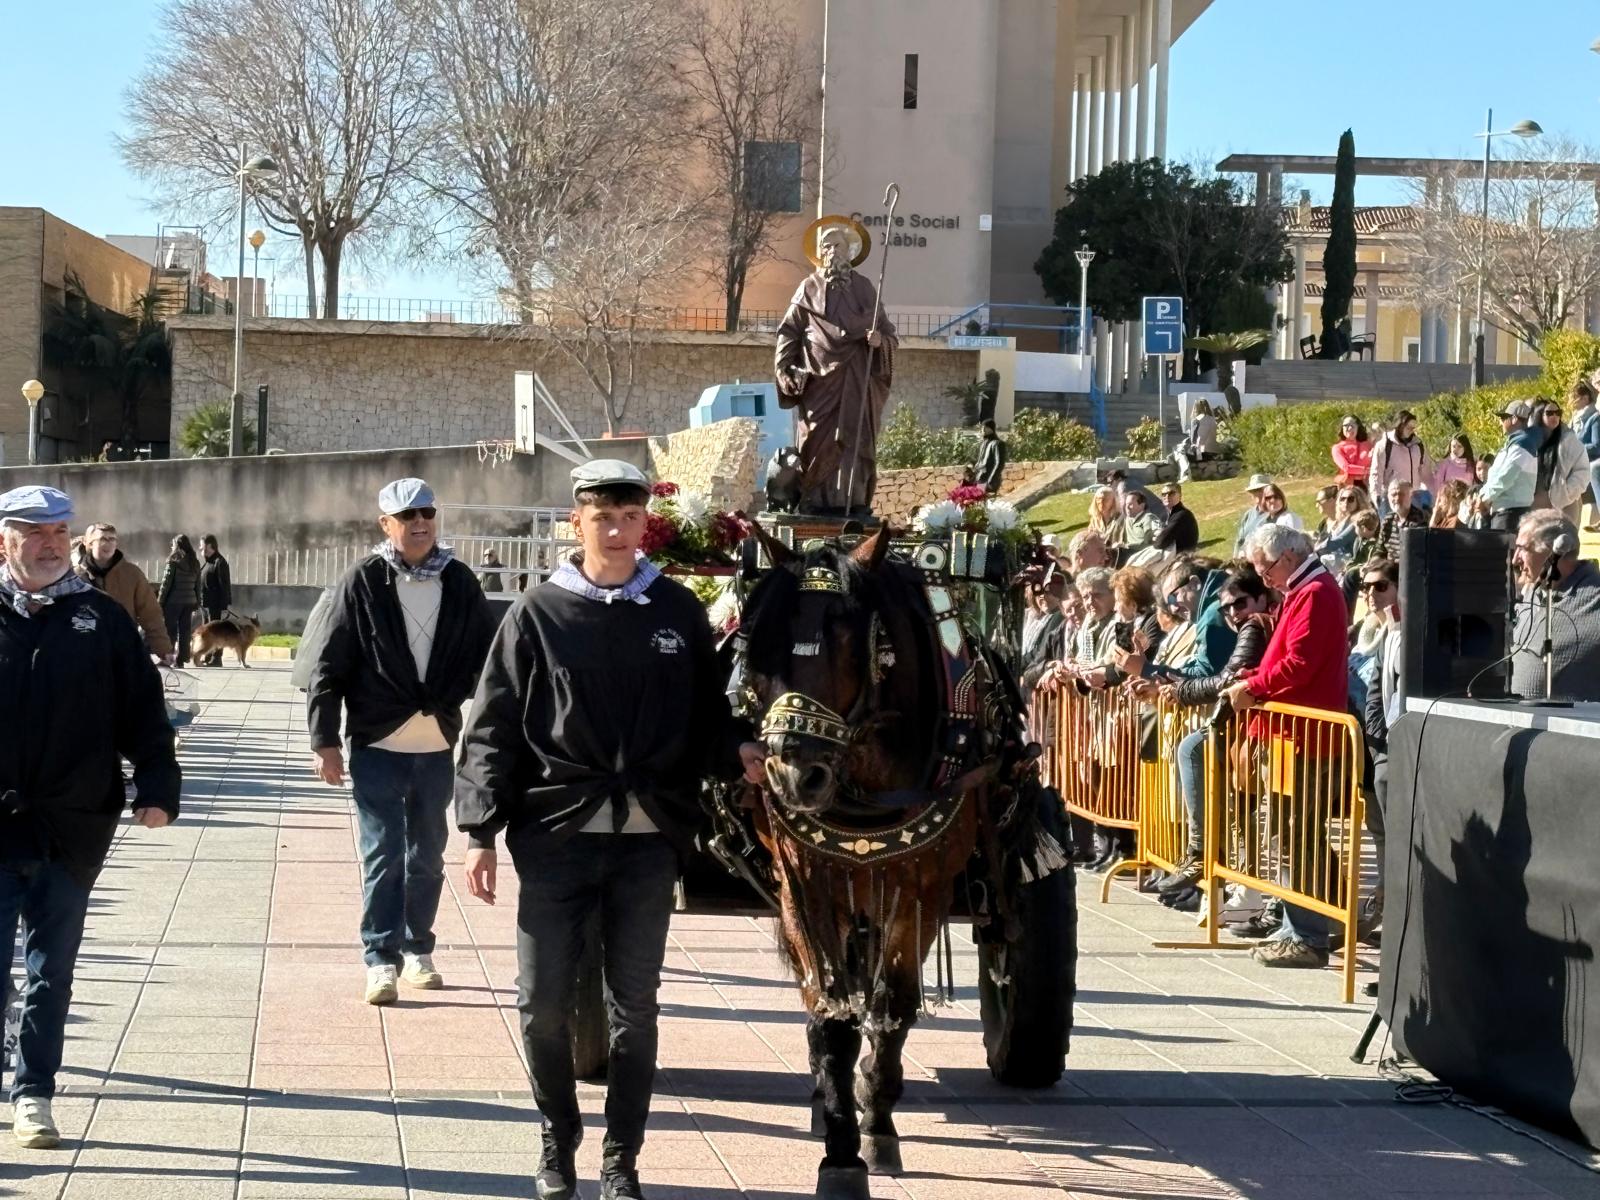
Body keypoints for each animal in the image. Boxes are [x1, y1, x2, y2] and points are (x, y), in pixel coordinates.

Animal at [739, 528, 1075, 1200]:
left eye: (851, 635)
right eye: (764, 638)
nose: (795, 773)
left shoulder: (921, 886)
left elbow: (891, 1007)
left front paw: (875, 1123)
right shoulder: (806, 884)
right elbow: (831, 1016)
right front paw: (840, 1150)